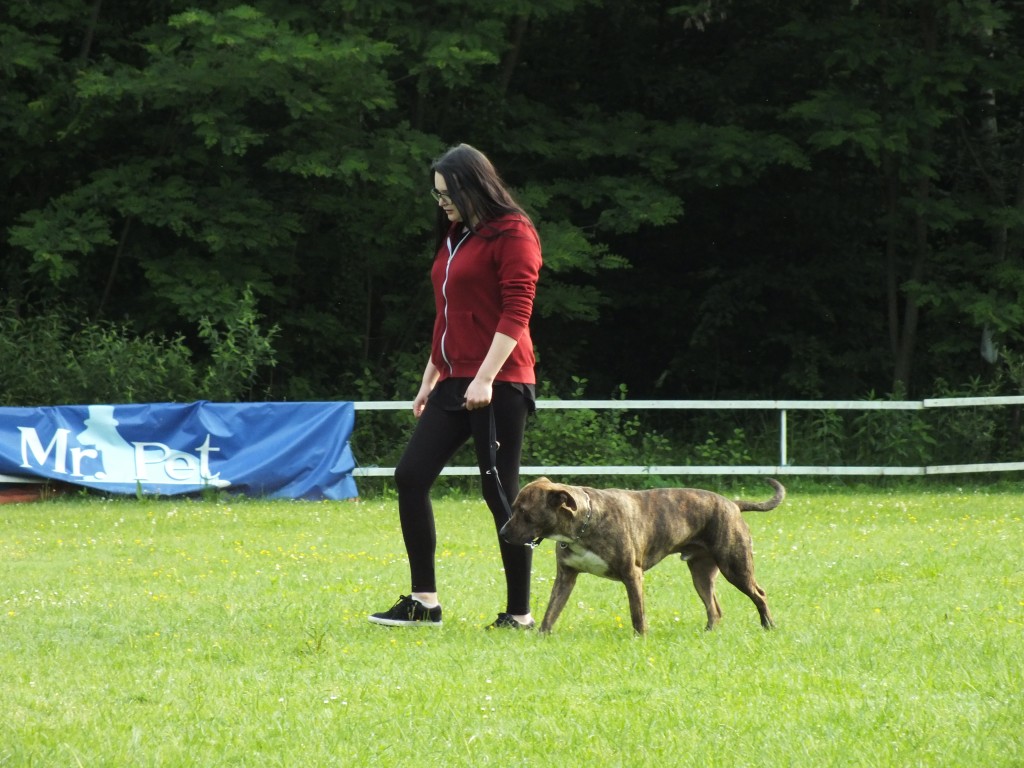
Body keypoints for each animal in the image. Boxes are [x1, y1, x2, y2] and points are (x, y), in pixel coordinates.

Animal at [500, 477, 785, 634]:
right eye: (513, 508)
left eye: (525, 513)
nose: (502, 532)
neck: (583, 525)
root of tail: (733, 504)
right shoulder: (566, 577)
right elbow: (551, 612)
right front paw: (541, 636)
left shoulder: (632, 575)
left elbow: (637, 614)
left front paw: (640, 639)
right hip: (702, 574)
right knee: (714, 607)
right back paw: (709, 633)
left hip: (735, 567)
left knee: (759, 594)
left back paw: (768, 626)